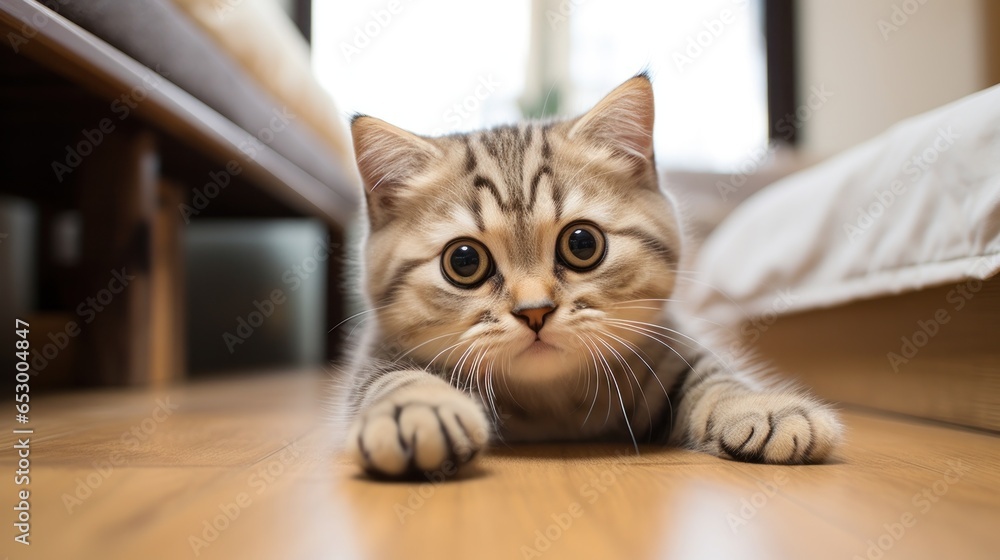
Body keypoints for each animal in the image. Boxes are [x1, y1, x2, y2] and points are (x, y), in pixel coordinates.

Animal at [340, 73, 840, 476]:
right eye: (464, 261)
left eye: (582, 244)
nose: (535, 311)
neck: (550, 405)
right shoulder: (380, 353)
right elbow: (389, 378)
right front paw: (415, 409)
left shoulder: (668, 347)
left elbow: (713, 375)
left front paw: (758, 406)